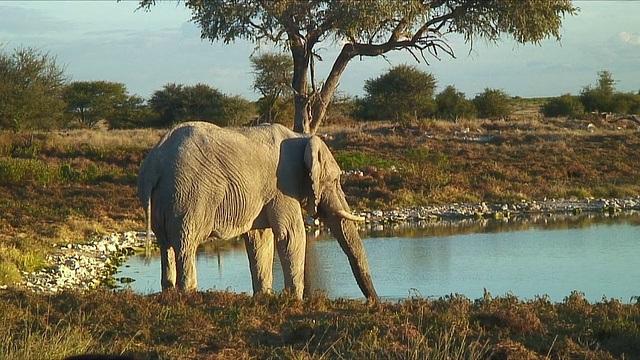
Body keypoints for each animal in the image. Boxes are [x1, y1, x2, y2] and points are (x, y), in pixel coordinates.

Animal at [139, 122, 380, 302]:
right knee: (186, 242)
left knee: (166, 245)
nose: (375, 303)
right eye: (336, 180)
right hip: (190, 195)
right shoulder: (283, 184)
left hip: (166, 199)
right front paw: (294, 301)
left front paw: (264, 298)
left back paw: (169, 292)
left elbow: (260, 238)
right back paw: (189, 293)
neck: (301, 136)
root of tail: (153, 165)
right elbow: (291, 235)